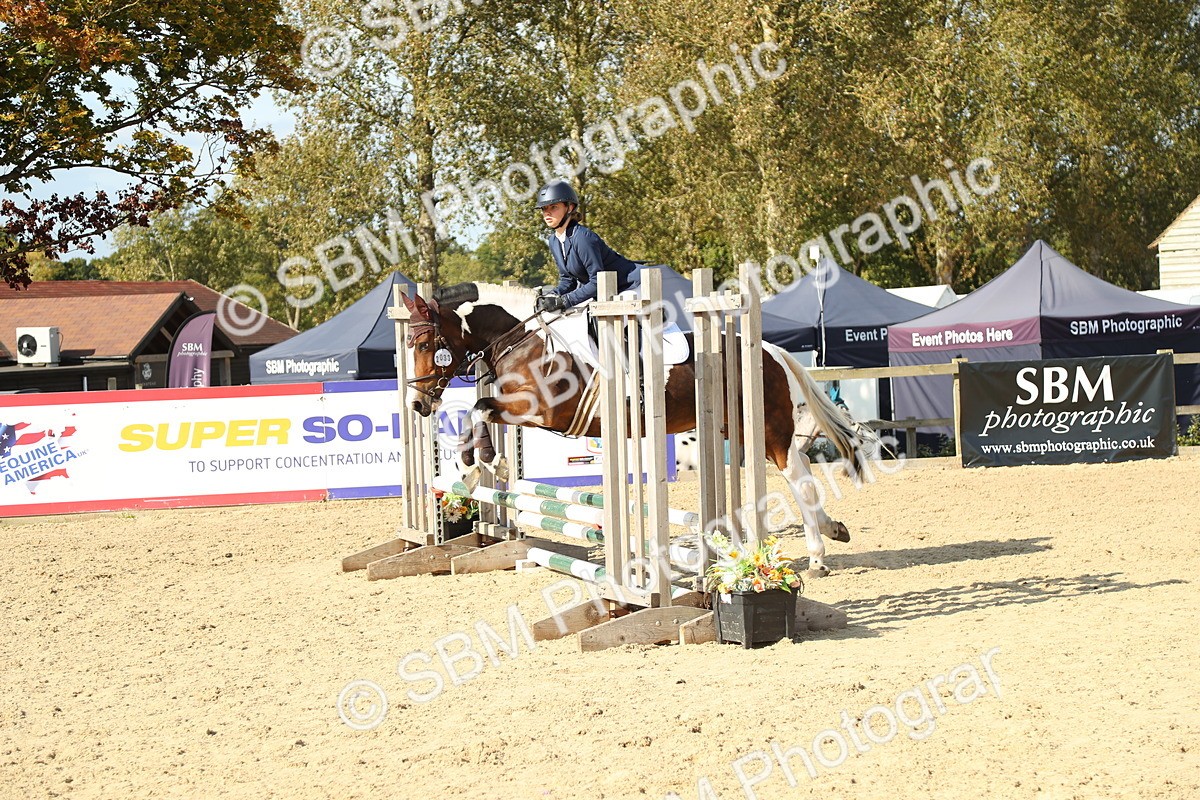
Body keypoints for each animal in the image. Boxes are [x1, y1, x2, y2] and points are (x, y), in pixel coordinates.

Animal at [399, 281, 881, 576]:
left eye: (426, 344)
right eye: (409, 344)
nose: (417, 404)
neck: (523, 341)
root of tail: (770, 350)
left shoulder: (544, 411)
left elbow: (480, 408)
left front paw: (478, 467)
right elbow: (475, 414)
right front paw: (474, 467)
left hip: (767, 428)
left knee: (798, 478)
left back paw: (817, 556)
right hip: (744, 431)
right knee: (802, 469)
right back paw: (833, 529)